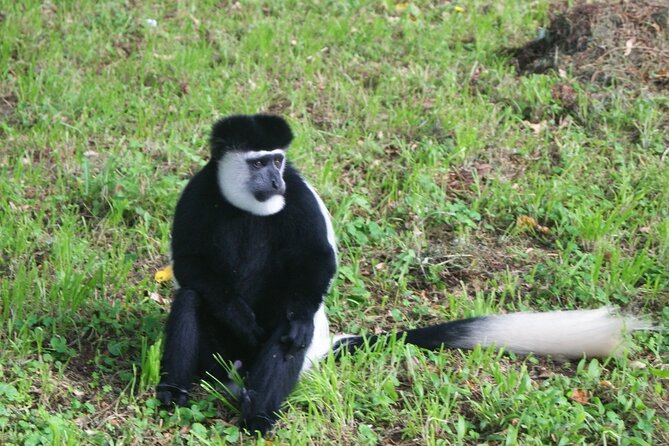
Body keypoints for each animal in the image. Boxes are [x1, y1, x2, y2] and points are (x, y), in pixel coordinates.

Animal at [156, 114, 650, 436]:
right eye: (258, 163)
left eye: (277, 160)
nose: (274, 182)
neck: (251, 205)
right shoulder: (199, 191)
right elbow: (190, 262)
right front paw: (239, 318)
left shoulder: (298, 196)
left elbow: (316, 262)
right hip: (218, 357)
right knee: (192, 298)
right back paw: (174, 395)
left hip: (291, 349)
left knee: (293, 330)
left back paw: (258, 416)